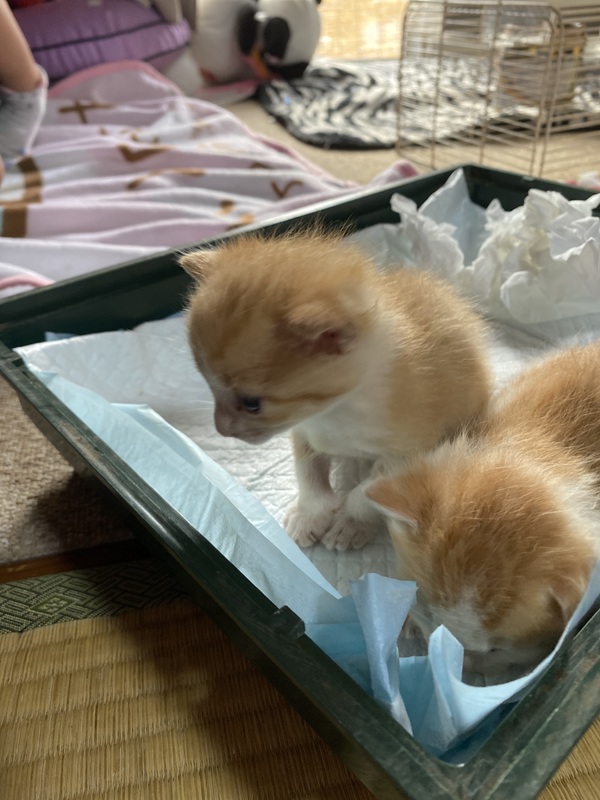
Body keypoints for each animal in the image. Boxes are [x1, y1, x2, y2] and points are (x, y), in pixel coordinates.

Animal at [181, 228, 491, 550]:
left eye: (252, 403)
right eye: (208, 384)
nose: (222, 430)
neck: (335, 409)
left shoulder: (412, 450)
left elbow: (368, 492)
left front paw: (351, 522)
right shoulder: (303, 429)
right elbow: (307, 472)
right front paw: (309, 514)